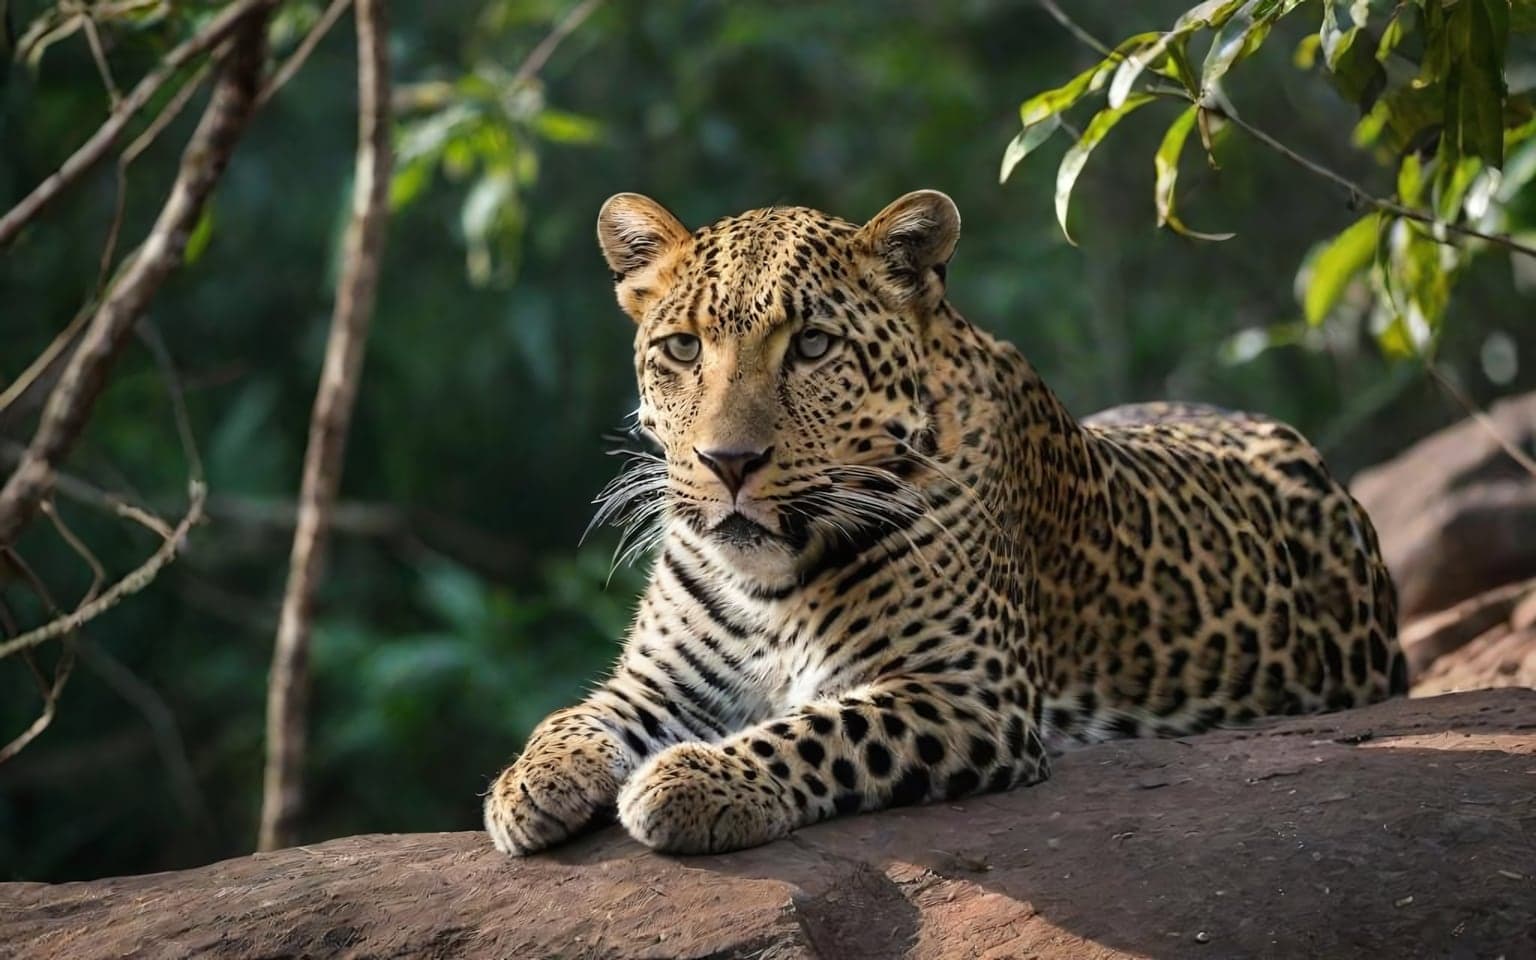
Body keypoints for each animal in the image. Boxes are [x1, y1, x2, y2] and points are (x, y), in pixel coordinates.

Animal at [483, 189, 1407, 856]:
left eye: (811, 347)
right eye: (681, 348)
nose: (728, 462)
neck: (767, 584)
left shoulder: (965, 693)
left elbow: (820, 730)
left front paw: (692, 783)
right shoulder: (662, 684)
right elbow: (574, 714)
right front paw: (526, 784)